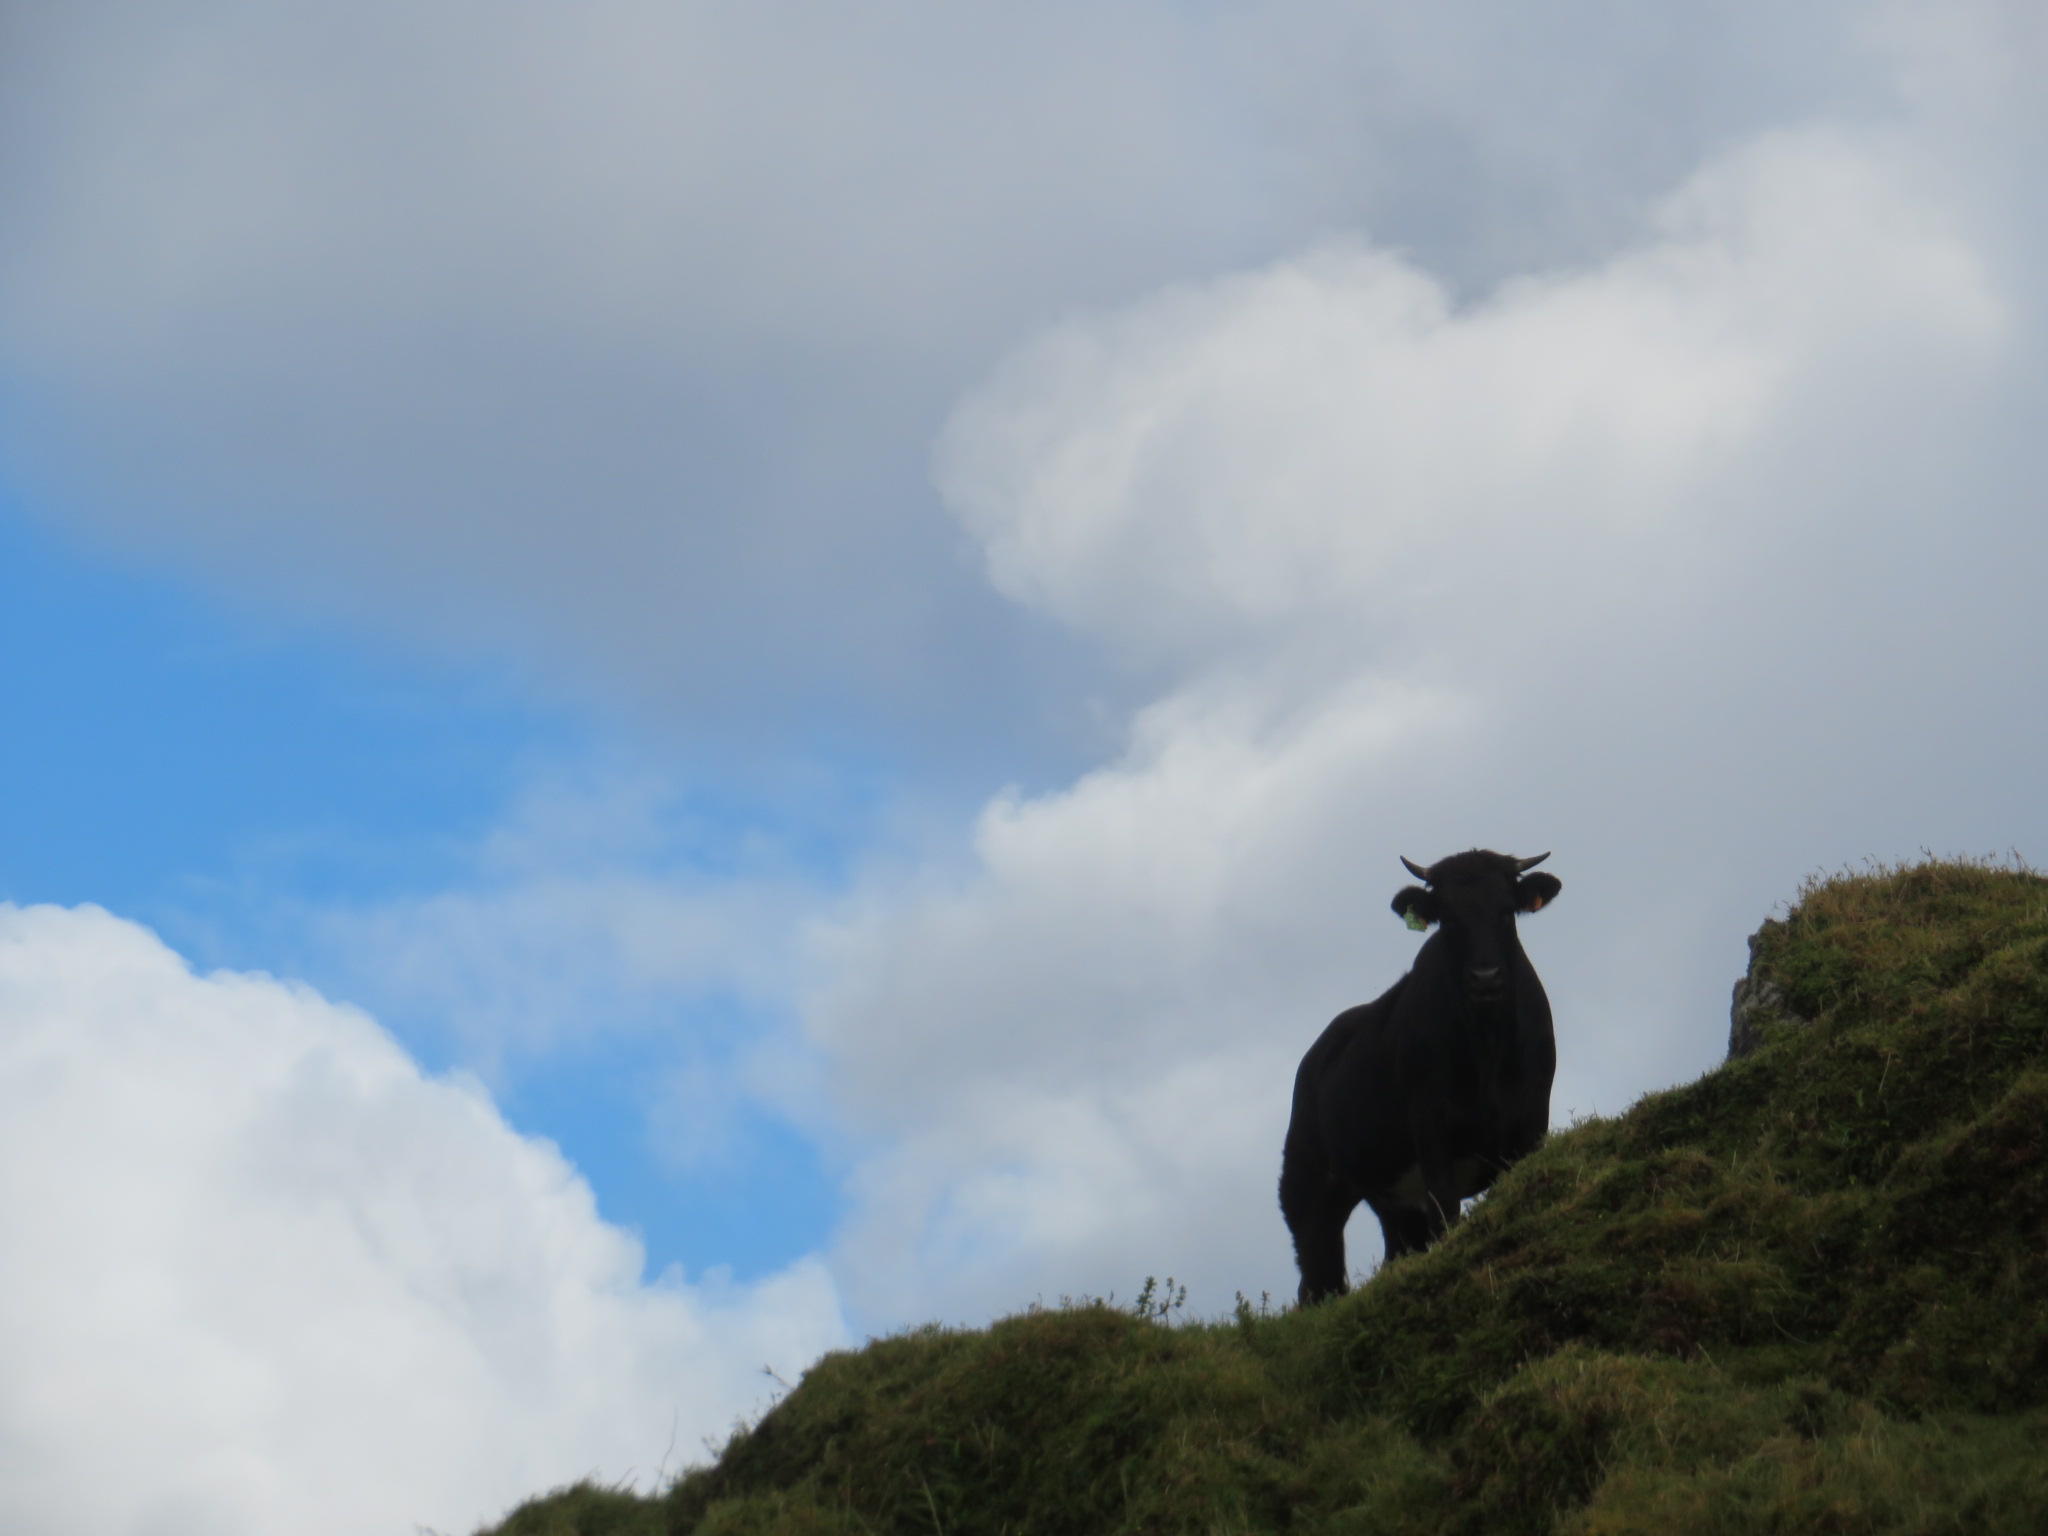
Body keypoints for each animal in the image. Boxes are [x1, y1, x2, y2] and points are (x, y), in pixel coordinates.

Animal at [1277, 847, 1548, 1302]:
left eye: (1506, 912)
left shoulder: (1532, 1122)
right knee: (1320, 1277)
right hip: (1309, 1184)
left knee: (1394, 1253)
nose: (1485, 977)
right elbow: (1447, 1214)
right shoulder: (1430, 1126)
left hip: (1393, 1200)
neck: (1488, 1049)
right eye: (1448, 919)